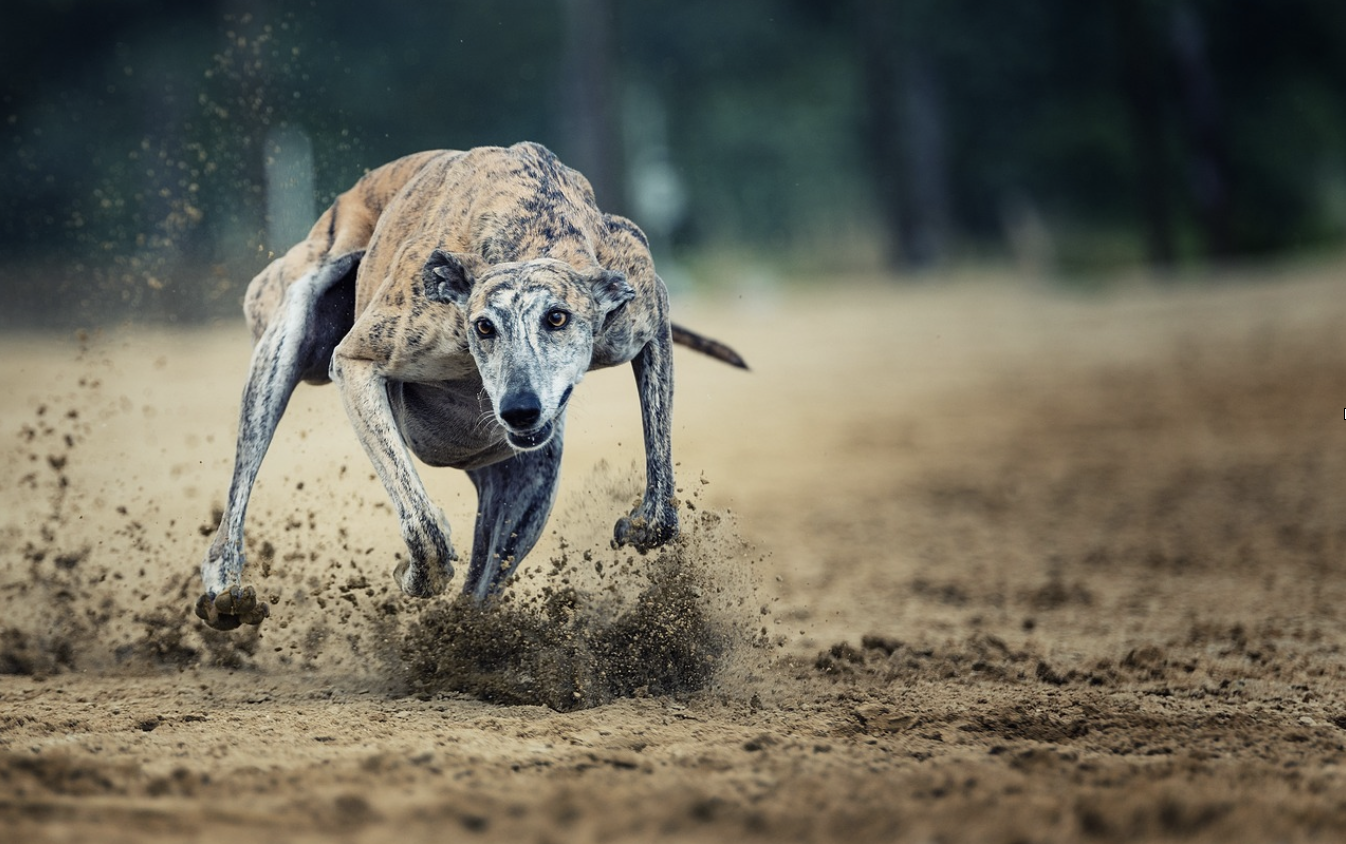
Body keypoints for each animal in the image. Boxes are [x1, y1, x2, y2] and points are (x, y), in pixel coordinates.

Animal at [195, 142, 748, 629]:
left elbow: (663, 497)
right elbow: (423, 525)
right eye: (483, 327)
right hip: (283, 345)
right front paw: (415, 573)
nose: (519, 411)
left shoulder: (646, 316)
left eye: (557, 317)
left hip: (526, 488)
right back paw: (224, 588)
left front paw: (640, 523)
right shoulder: (359, 360)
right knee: (241, 485)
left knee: (483, 582)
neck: (532, 231)